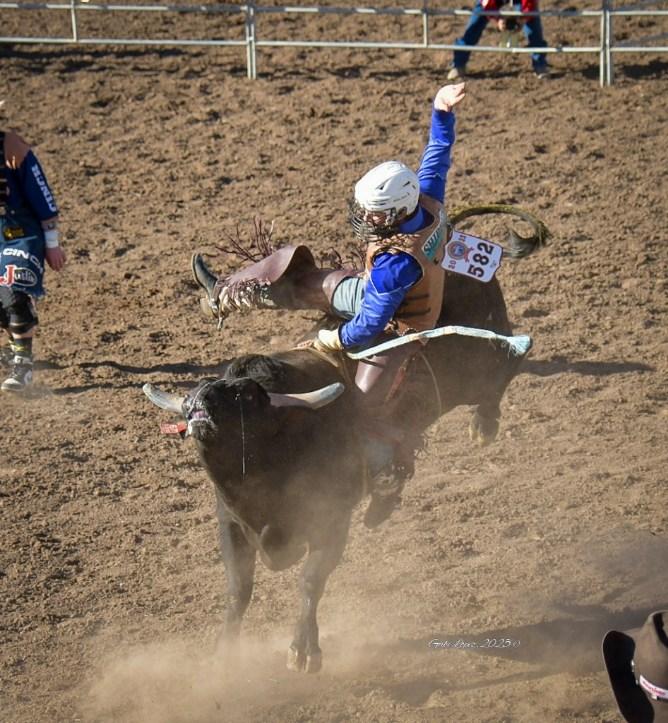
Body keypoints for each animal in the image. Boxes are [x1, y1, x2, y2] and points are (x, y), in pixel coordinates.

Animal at [144, 206, 552, 676]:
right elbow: (239, 590)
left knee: (512, 359)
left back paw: (484, 424)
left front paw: (303, 651)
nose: (199, 402)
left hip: (476, 368)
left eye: (245, 397)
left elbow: (310, 581)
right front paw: (225, 652)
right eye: (210, 386)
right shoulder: (231, 522)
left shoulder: (332, 520)